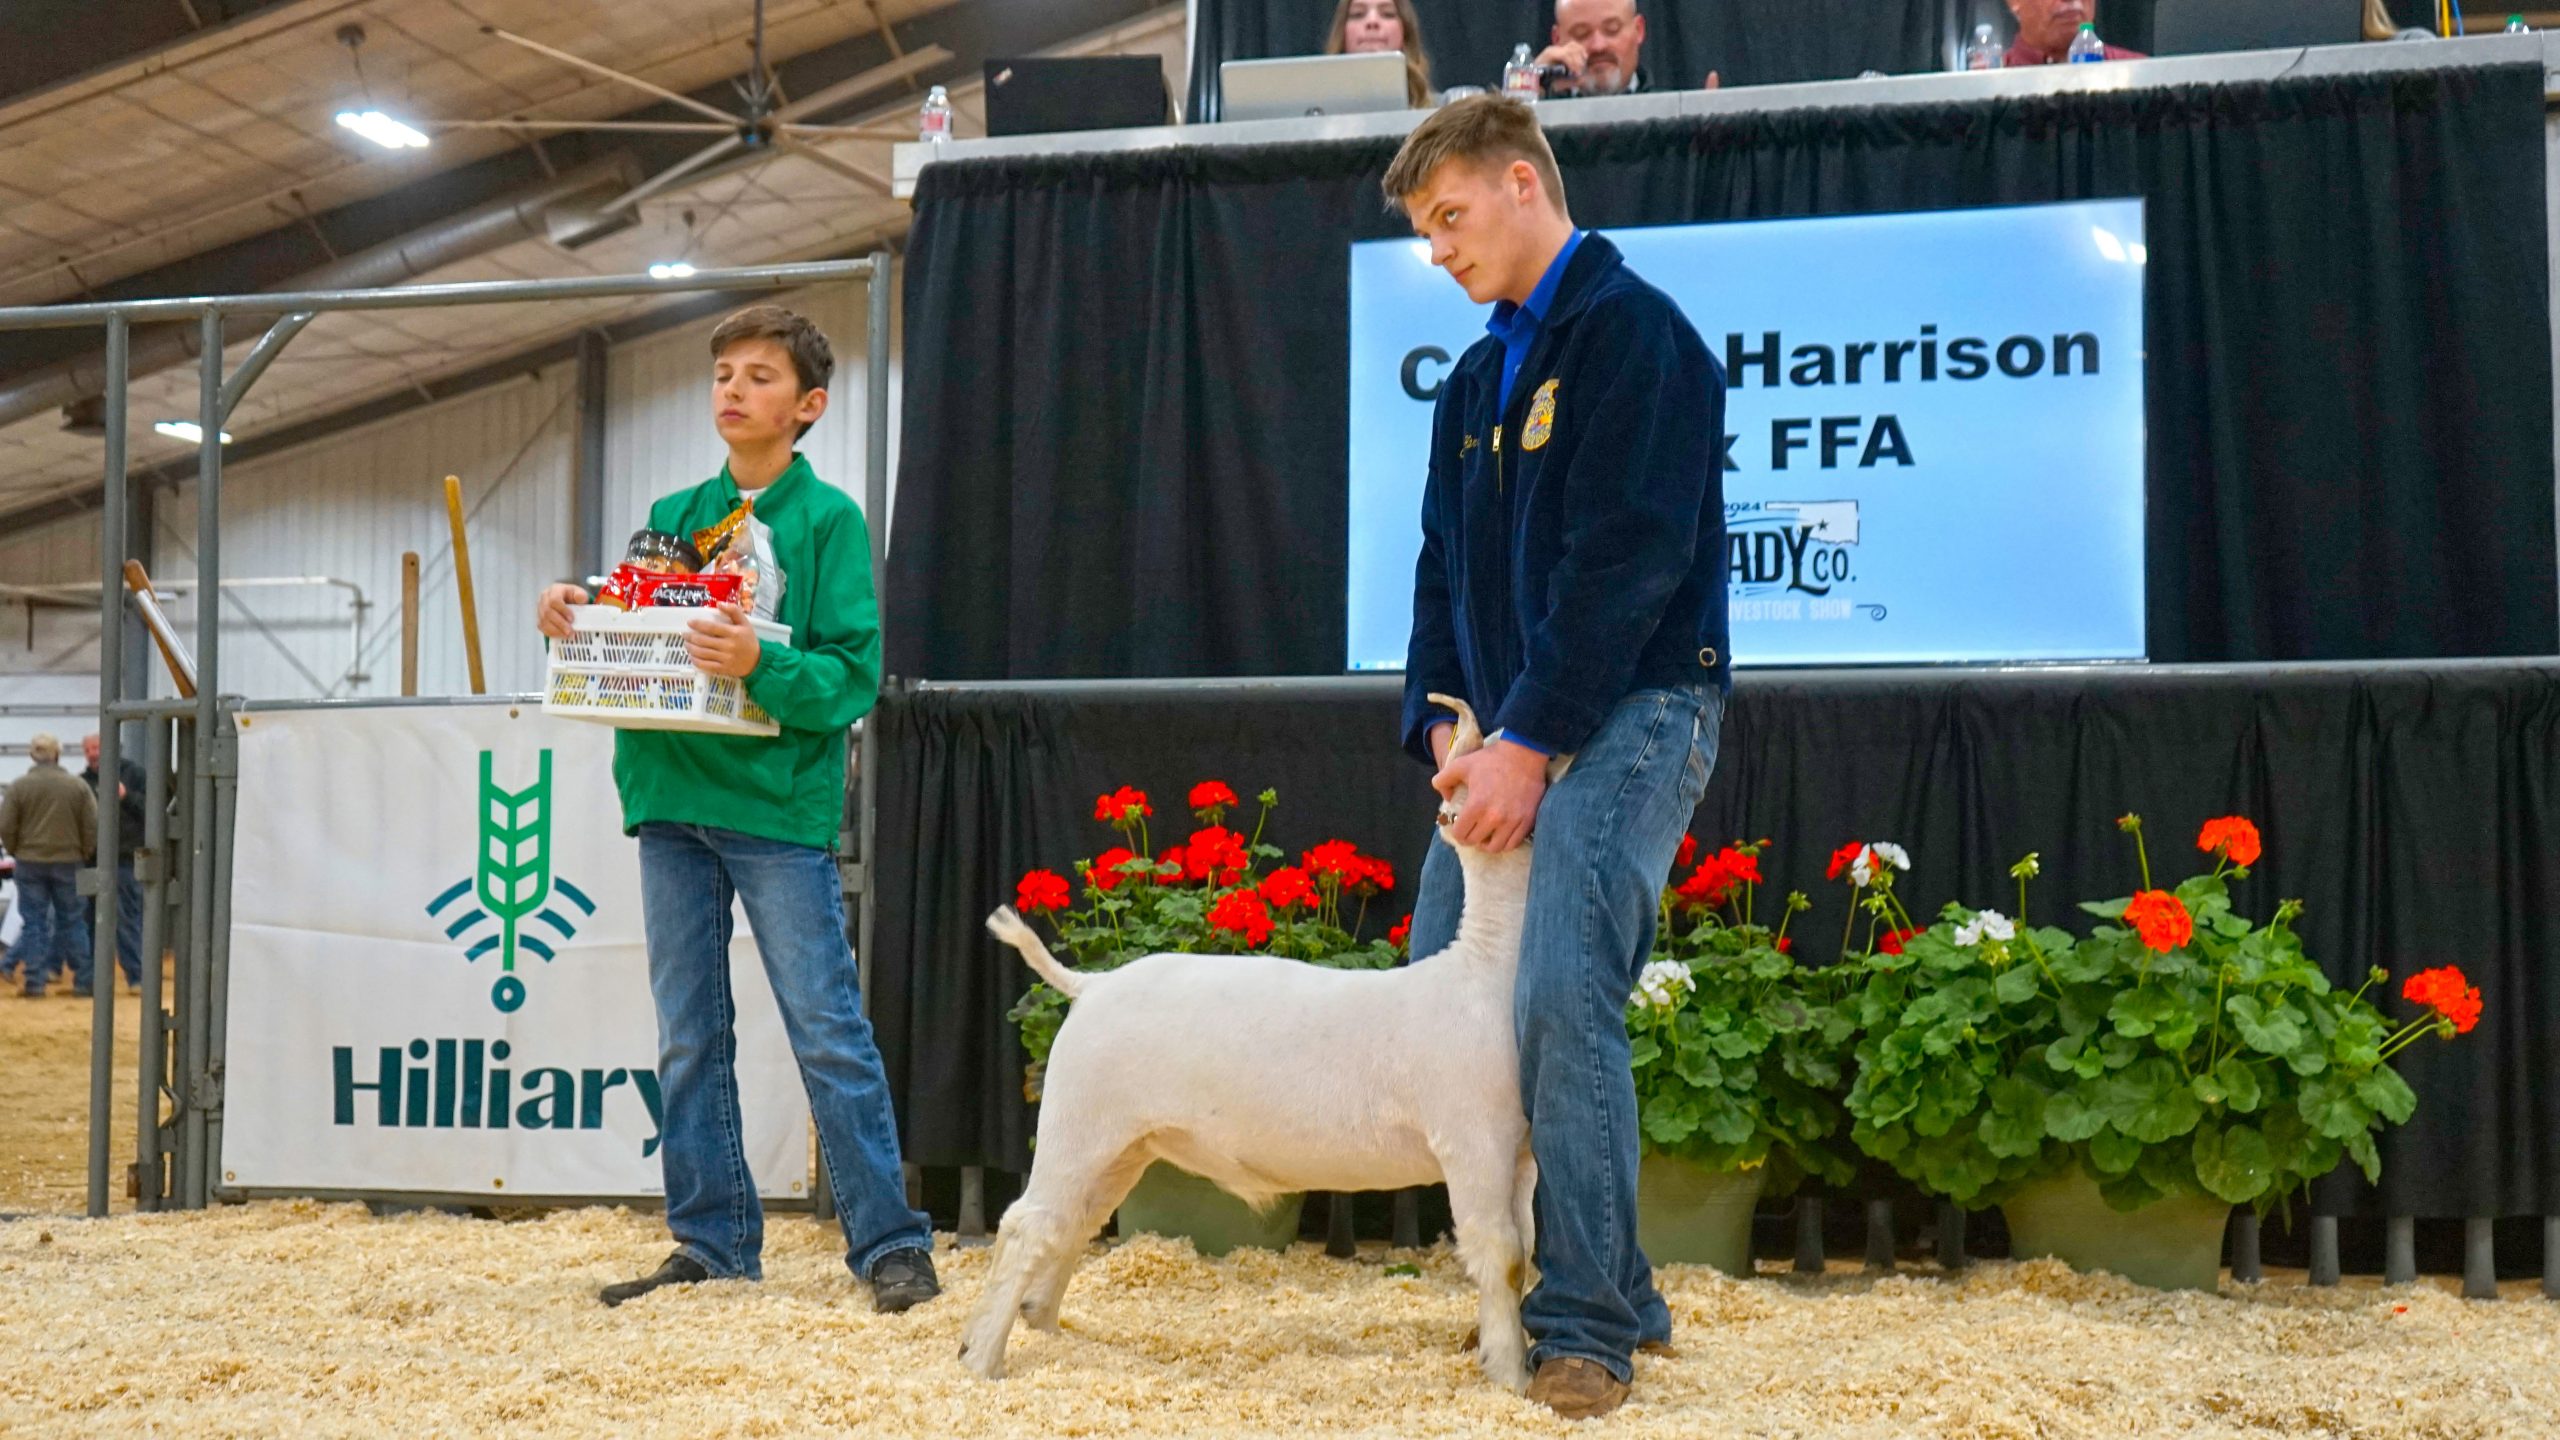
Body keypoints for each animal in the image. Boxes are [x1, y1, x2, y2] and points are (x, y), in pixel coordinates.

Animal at [960, 694, 1557, 1391]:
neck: (1485, 971)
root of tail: (1091, 985)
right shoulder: (1474, 1139)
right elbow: (1503, 1253)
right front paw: (1513, 1379)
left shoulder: (1520, 1151)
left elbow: (1528, 1249)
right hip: (1079, 1117)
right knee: (1028, 1225)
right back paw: (982, 1359)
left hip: (1122, 1143)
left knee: (1071, 1221)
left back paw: (1042, 1327)